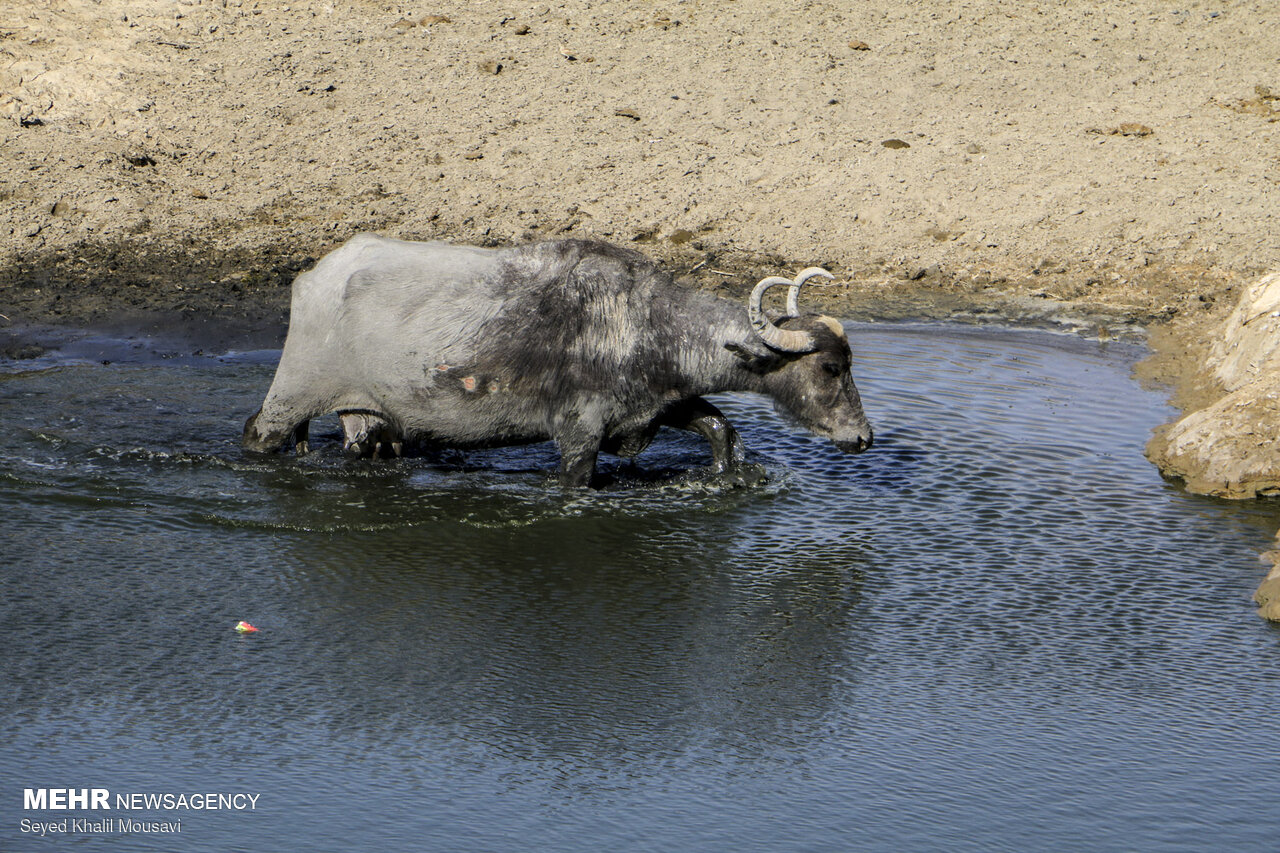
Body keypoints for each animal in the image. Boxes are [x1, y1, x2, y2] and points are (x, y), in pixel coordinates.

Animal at [241, 233, 870, 484]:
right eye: (831, 368)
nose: (863, 438)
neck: (641, 324)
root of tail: (315, 276)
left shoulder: (652, 408)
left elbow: (720, 429)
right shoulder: (579, 434)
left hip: (370, 420)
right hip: (291, 395)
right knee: (257, 432)